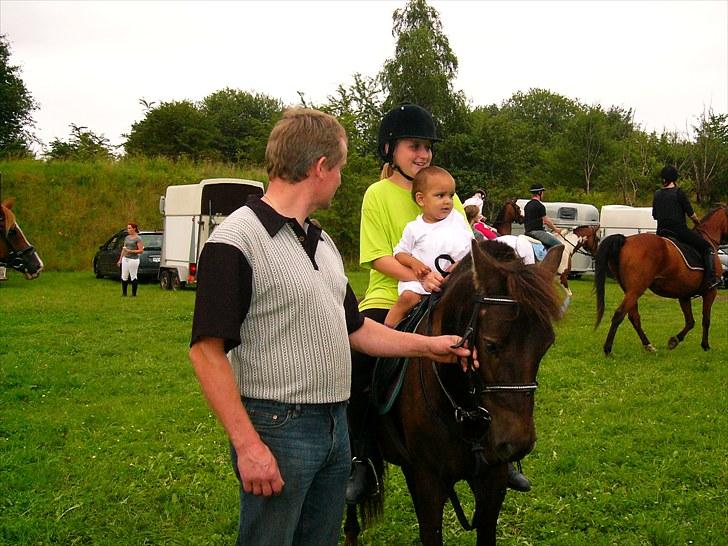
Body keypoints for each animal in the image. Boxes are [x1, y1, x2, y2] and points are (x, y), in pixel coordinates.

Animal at [344, 240, 564, 540]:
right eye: (491, 344)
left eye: (547, 344)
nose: (517, 444)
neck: (463, 406)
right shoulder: (426, 482)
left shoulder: (492, 483)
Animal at [596, 204, 724, 352]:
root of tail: (626, 240)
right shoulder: (710, 292)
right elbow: (706, 320)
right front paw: (705, 345)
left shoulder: (684, 295)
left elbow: (690, 321)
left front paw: (674, 340)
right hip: (636, 290)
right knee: (619, 314)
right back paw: (608, 349)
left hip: (630, 290)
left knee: (633, 317)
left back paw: (648, 345)